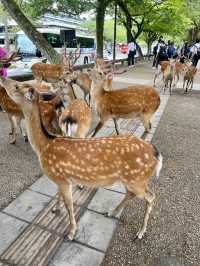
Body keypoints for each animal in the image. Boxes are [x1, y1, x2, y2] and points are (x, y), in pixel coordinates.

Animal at [0, 76, 162, 241]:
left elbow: (69, 205)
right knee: (131, 194)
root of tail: (156, 154)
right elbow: (59, 195)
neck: (44, 146)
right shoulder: (61, 178)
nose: (3, 78)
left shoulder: (62, 179)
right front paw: (55, 209)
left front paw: (71, 233)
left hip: (137, 179)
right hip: (131, 179)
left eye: (18, 86)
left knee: (151, 197)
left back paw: (140, 232)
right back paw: (111, 213)